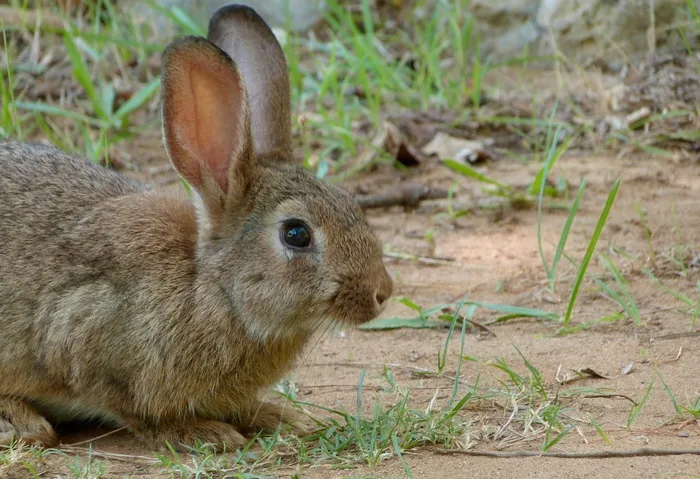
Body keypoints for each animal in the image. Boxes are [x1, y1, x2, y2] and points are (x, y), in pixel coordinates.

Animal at [0, 3, 394, 452]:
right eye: (296, 234)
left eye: (350, 202)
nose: (382, 292)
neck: (214, 289)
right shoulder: (82, 334)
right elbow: (136, 412)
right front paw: (203, 433)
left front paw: (281, 417)